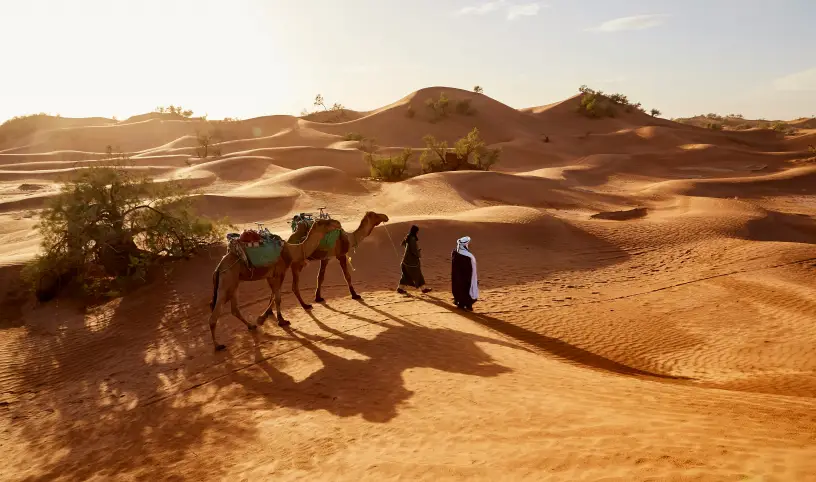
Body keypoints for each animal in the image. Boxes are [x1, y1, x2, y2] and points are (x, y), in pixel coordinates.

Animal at [208, 218, 342, 350]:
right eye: (325, 222)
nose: (338, 223)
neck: (291, 250)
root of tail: (218, 268)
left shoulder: (271, 275)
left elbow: (273, 294)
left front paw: (263, 317)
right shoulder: (279, 272)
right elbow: (278, 298)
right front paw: (281, 321)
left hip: (234, 283)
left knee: (234, 309)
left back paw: (251, 325)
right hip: (226, 282)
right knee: (215, 313)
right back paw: (218, 345)